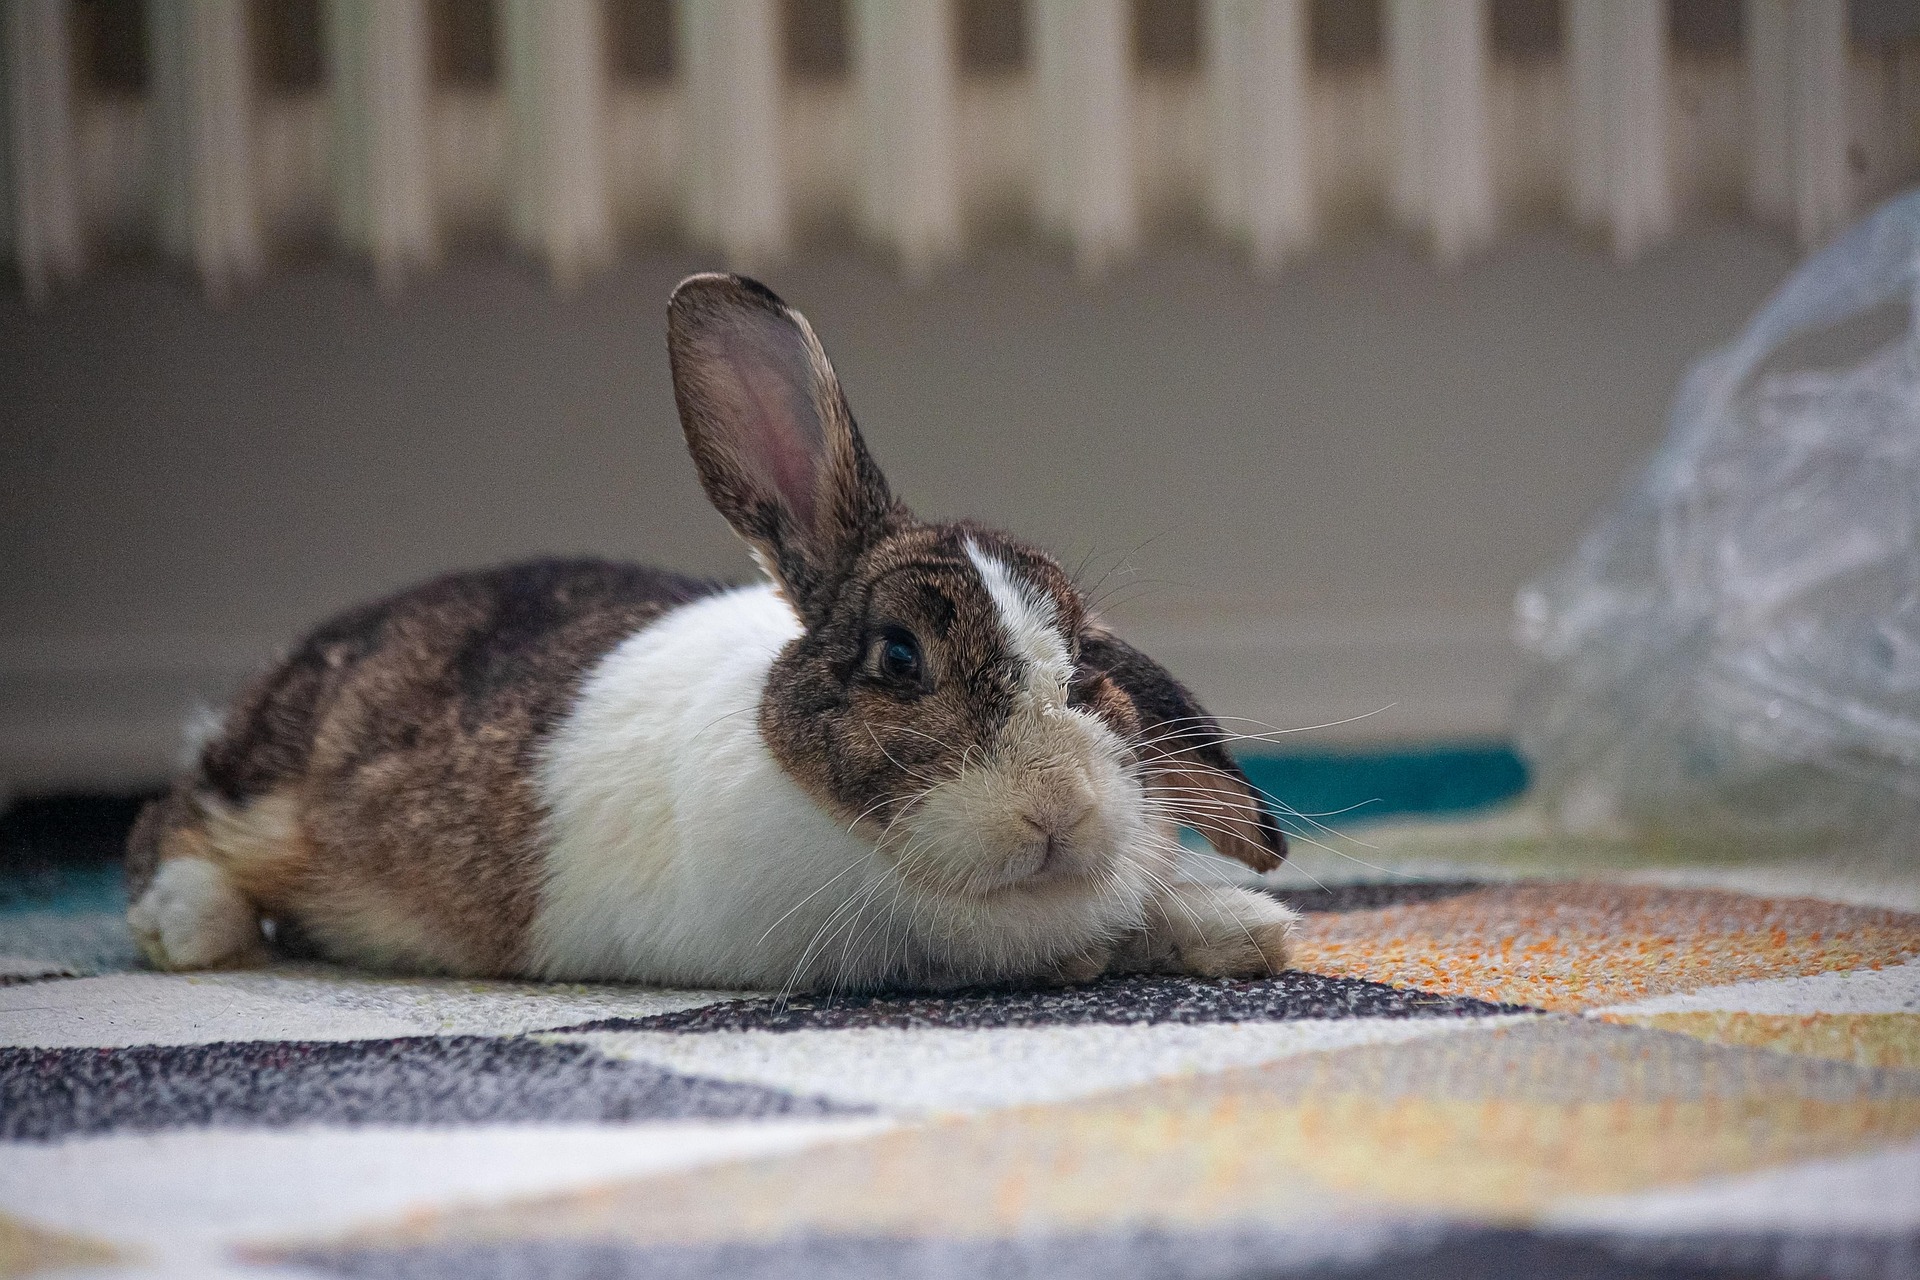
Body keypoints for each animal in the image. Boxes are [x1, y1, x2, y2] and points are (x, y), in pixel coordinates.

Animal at [125, 273, 1298, 992]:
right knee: (173, 818)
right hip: (272, 789)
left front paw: (1247, 927)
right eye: (898, 656)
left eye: (1086, 658)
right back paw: (188, 926)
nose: (1057, 811)